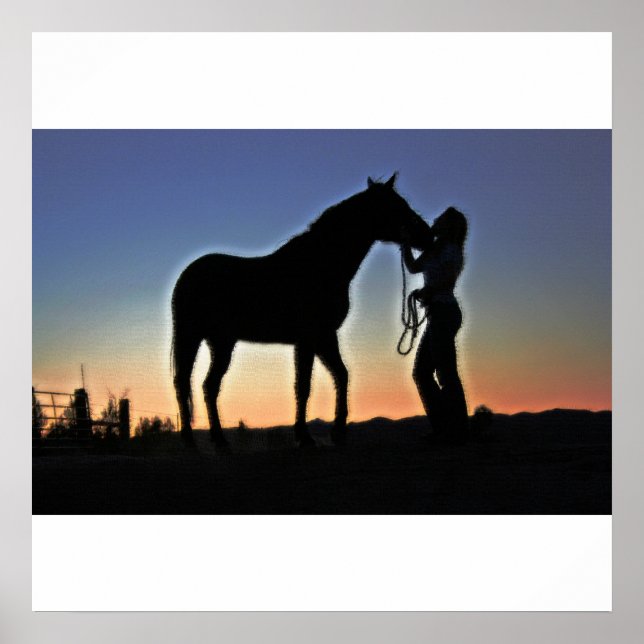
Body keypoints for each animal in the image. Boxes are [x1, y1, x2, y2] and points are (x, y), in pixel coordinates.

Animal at [171, 173, 432, 448]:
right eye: (396, 206)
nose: (428, 235)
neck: (318, 265)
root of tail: (187, 275)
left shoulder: (324, 336)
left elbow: (341, 375)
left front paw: (337, 433)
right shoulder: (308, 338)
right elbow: (304, 385)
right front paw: (305, 438)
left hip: (220, 342)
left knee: (208, 386)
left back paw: (220, 442)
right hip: (192, 337)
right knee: (183, 383)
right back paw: (192, 441)